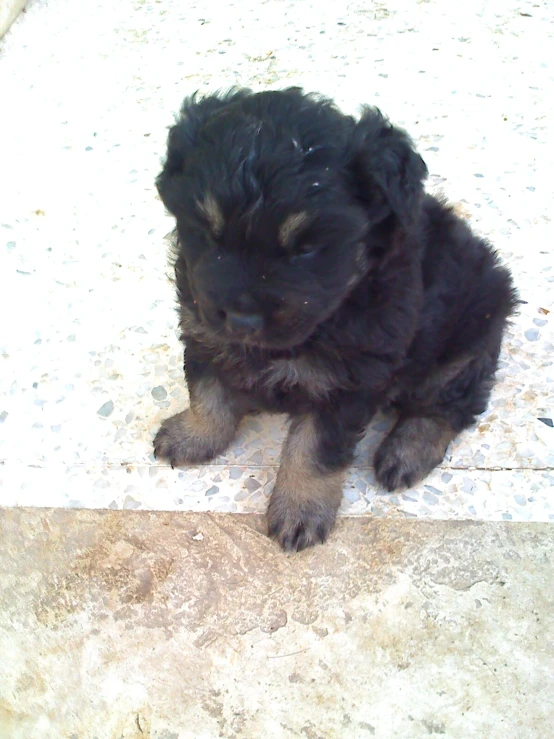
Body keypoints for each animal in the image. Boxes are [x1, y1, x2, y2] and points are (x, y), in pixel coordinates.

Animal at [152, 88, 516, 548]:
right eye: (208, 233)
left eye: (306, 248)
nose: (242, 321)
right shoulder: (201, 327)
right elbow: (207, 392)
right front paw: (193, 435)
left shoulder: (347, 382)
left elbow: (313, 450)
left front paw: (300, 510)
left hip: (466, 336)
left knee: (448, 404)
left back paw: (406, 452)